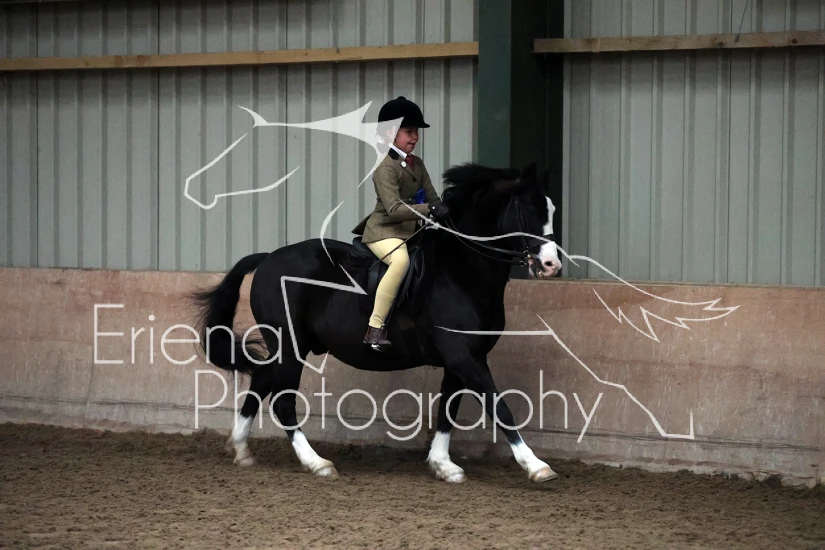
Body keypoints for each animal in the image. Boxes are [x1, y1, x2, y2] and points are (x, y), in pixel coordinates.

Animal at [191, 162, 562, 483]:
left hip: (288, 346)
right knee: (282, 401)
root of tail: (268, 258)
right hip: (289, 346)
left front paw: (443, 465)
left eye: (552, 210)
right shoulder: (464, 357)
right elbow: (500, 408)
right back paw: (317, 463)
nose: (551, 265)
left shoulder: (461, 358)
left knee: (260, 383)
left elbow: (447, 409)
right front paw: (536, 466)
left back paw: (242, 450)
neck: (462, 269)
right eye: (531, 211)